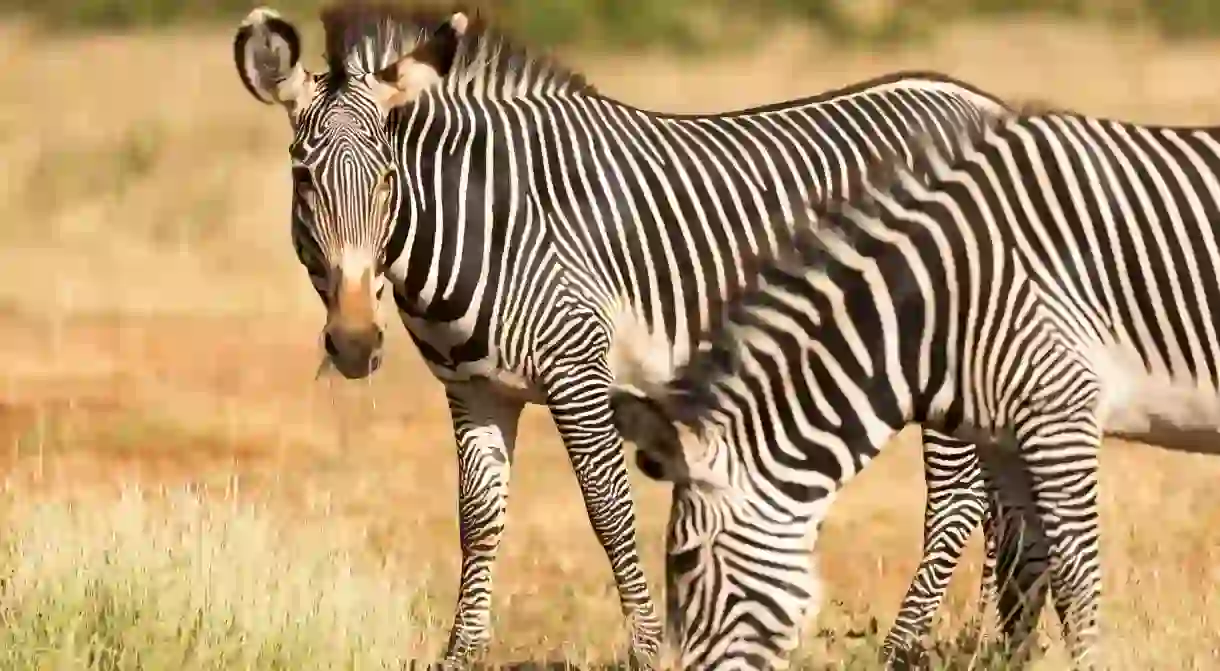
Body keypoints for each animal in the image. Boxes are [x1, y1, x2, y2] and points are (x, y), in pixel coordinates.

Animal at [230, 2, 1019, 668]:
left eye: (390, 179)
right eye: (303, 179)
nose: (355, 343)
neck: (489, 221)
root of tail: (987, 102)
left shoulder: (578, 369)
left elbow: (608, 509)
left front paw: (648, 648)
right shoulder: (475, 390)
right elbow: (479, 517)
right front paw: (462, 653)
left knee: (958, 502)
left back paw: (904, 648)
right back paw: (996, 641)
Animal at [610, 104, 1220, 668]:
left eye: (686, 559)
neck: (947, 293)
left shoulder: (1061, 412)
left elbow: (1075, 580)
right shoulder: (1005, 435)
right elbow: (1023, 575)